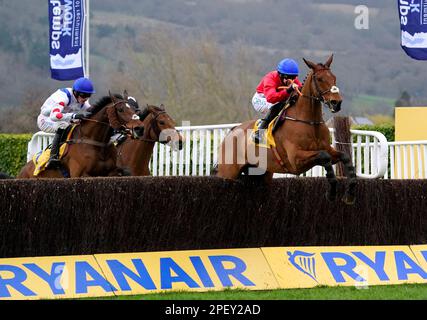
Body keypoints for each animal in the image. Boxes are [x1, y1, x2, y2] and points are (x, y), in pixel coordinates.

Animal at [17, 91, 145, 179]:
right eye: (120, 109)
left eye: (135, 110)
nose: (139, 128)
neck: (96, 142)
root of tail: (23, 169)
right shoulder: (80, 174)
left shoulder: (110, 172)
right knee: (60, 125)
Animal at [214, 54, 358, 204]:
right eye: (320, 79)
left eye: (334, 77)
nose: (337, 103)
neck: (310, 122)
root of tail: (232, 131)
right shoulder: (295, 160)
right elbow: (324, 156)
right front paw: (331, 192)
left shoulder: (327, 148)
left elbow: (344, 156)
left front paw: (350, 193)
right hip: (228, 171)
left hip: (261, 173)